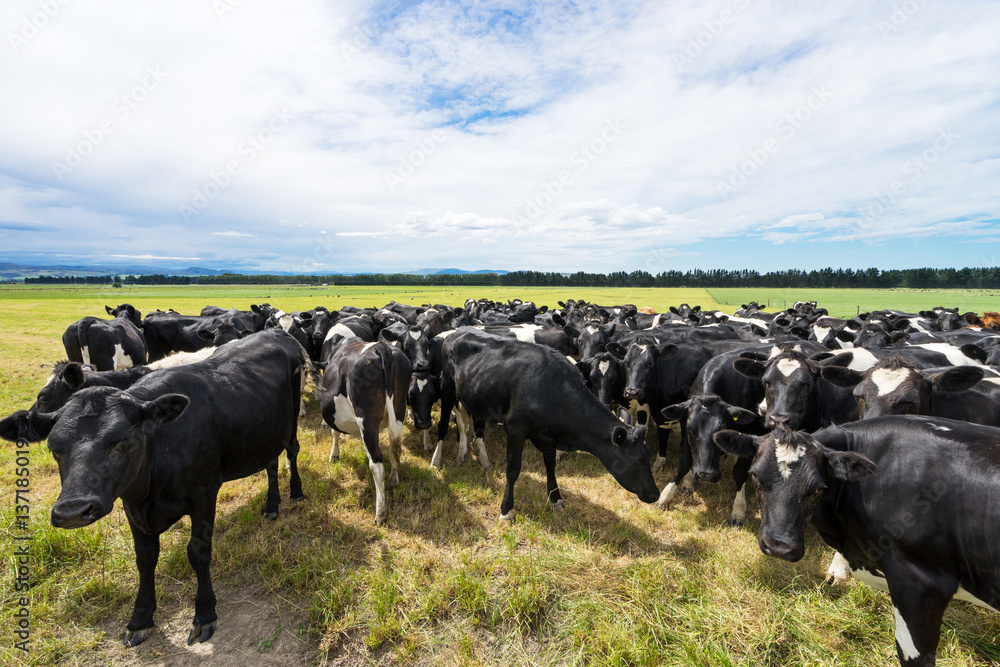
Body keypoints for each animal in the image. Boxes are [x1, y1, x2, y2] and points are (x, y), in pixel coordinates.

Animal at [0, 332, 308, 648]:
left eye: (123, 441)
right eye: (55, 448)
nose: (73, 511)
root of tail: (275, 333)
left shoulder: (203, 493)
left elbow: (198, 552)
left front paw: (204, 614)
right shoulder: (131, 503)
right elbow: (145, 557)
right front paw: (140, 619)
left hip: (291, 419)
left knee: (291, 450)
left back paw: (295, 492)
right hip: (267, 433)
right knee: (271, 462)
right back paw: (271, 505)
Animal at [316, 336, 410, 524]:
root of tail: (382, 348)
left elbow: (334, 432)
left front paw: (334, 455)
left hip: (366, 418)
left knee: (376, 462)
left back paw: (380, 513)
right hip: (399, 409)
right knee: (395, 449)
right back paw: (394, 479)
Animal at [434, 328, 660, 520]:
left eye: (649, 456)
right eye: (637, 461)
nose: (655, 494)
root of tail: (456, 332)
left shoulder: (548, 436)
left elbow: (550, 465)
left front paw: (555, 498)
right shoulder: (515, 429)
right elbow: (513, 468)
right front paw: (507, 509)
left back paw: (481, 458)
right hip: (447, 388)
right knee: (443, 424)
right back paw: (436, 460)